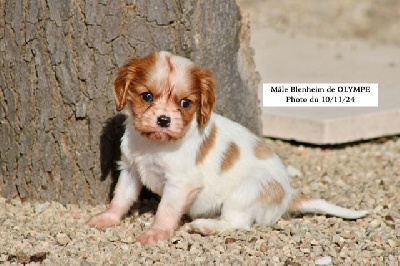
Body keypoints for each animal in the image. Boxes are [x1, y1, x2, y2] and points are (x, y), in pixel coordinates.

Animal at [88, 51, 368, 245]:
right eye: (146, 96)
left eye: (185, 103)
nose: (164, 120)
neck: (153, 144)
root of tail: (288, 194)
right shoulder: (130, 169)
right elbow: (121, 197)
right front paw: (108, 218)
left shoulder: (180, 183)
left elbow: (165, 210)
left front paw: (156, 232)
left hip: (244, 193)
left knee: (239, 222)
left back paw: (207, 226)